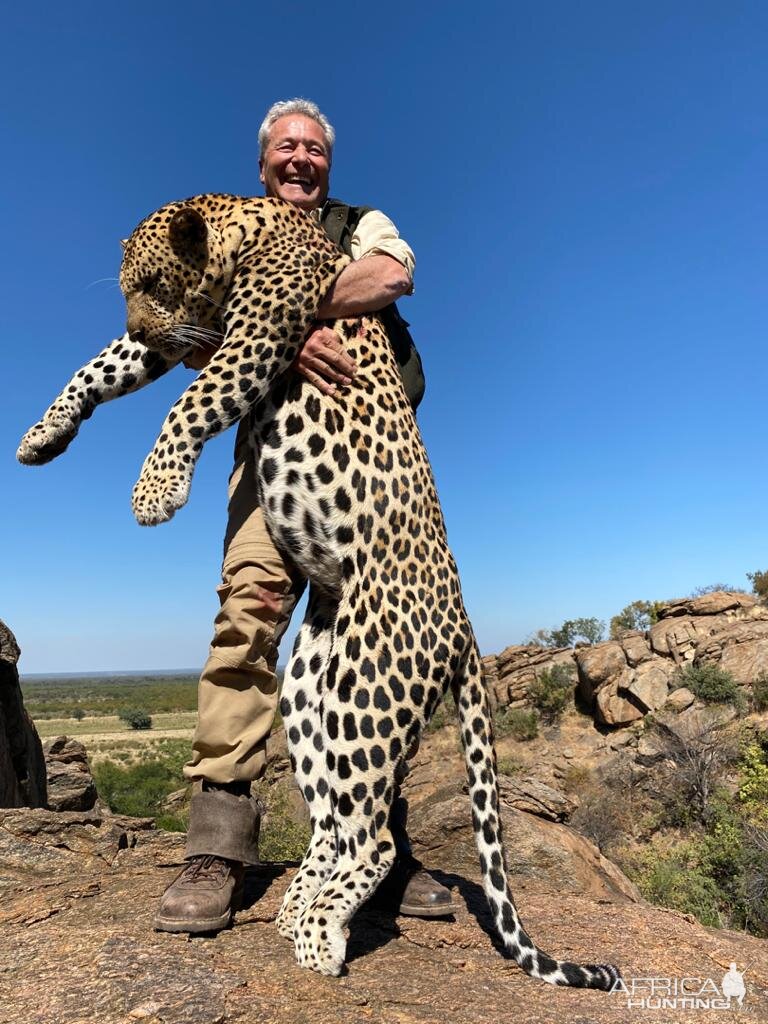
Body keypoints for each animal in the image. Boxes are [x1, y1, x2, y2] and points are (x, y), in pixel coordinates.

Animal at [18, 193, 622, 991]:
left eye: (149, 283)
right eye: (128, 291)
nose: (141, 323)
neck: (242, 226)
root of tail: (466, 627)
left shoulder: (253, 337)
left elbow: (190, 398)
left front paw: (155, 490)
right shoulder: (188, 334)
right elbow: (96, 368)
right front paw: (40, 437)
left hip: (370, 696)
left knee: (375, 840)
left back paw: (319, 939)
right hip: (313, 695)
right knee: (334, 822)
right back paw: (296, 908)